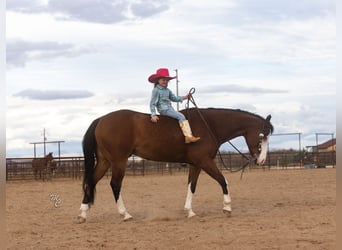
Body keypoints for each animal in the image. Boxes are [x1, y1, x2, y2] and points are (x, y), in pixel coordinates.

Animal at [77, 108, 272, 222]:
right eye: (262, 136)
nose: (261, 161)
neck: (209, 124)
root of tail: (101, 119)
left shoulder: (196, 164)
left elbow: (192, 186)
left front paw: (189, 211)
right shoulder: (205, 161)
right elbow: (223, 181)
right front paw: (227, 207)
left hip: (105, 161)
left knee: (91, 181)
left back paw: (83, 213)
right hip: (118, 161)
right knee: (115, 184)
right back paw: (125, 214)